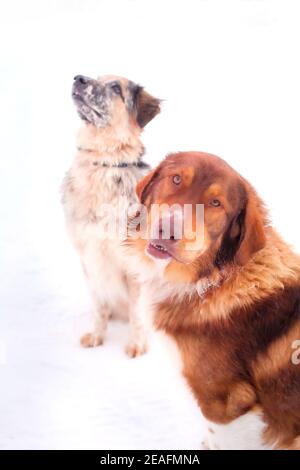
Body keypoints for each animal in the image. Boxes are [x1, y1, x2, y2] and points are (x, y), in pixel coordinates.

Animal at [62, 75, 161, 356]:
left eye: (116, 87)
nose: (78, 78)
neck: (104, 163)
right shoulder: (89, 257)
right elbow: (99, 304)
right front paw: (97, 335)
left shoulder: (134, 264)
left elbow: (137, 313)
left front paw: (136, 344)